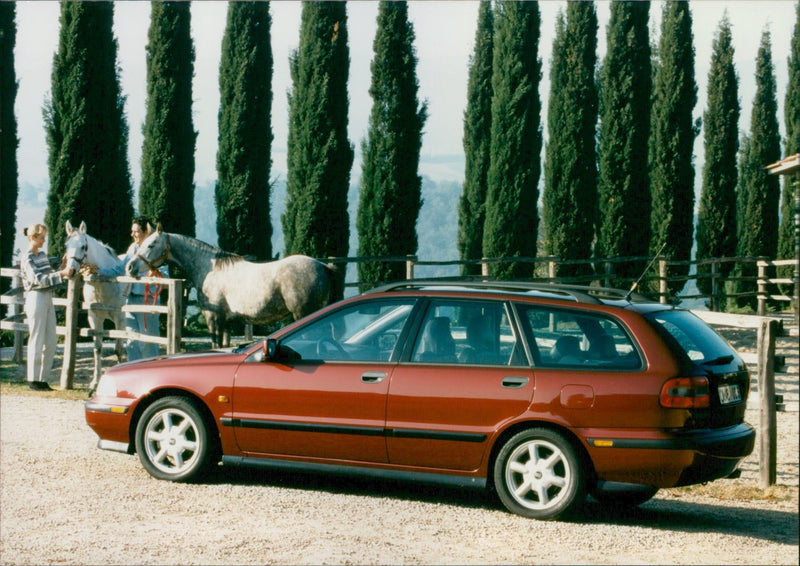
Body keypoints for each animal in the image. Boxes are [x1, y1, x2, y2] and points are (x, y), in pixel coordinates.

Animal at [63, 221, 129, 390]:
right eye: (66, 245)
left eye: (83, 246)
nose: (70, 271)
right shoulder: (94, 318)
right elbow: (97, 349)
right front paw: (94, 383)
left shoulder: (120, 318)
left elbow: (118, 349)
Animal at [126, 225, 338, 348]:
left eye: (151, 244)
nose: (130, 267)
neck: (210, 269)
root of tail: (324, 266)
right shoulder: (225, 322)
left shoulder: (213, 319)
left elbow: (216, 346)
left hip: (303, 313)